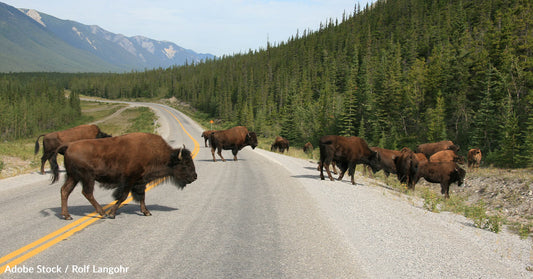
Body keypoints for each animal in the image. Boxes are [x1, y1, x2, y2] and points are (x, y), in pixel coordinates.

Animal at [48, 133, 195, 221]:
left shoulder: (140, 181)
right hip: (87, 177)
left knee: (65, 191)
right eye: (185, 164)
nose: (195, 177)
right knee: (87, 192)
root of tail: (69, 146)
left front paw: (146, 212)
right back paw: (102, 213)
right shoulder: (129, 180)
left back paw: (67, 216)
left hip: (73, 177)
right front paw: (112, 214)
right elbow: (123, 196)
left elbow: (141, 196)